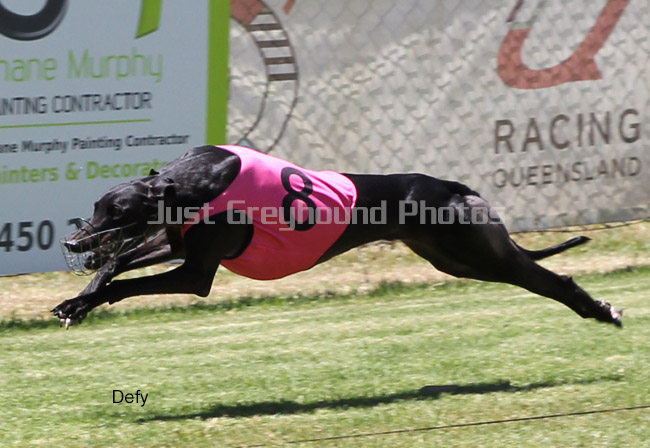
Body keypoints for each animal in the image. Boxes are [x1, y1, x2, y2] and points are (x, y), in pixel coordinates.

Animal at [52, 145, 622, 328]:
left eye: (116, 211)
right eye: (98, 207)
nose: (74, 244)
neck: (195, 180)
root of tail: (457, 188)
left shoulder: (196, 271)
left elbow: (130, 281)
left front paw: (84, 300)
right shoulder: (177, 241)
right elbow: (116, 265)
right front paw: (77, 301)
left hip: (476, 252)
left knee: (551, 278)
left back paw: (601, 309)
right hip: (453, 258)